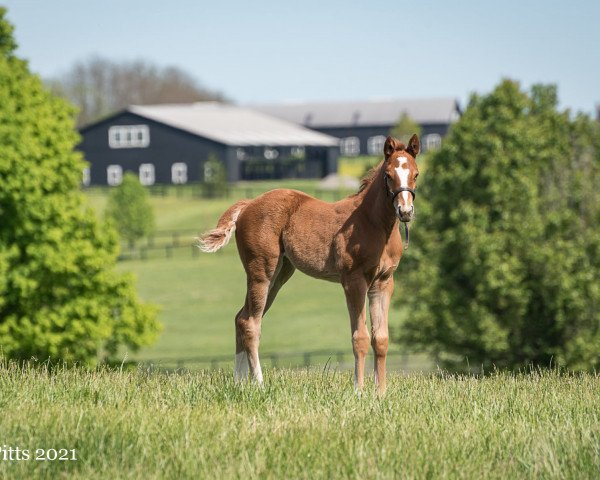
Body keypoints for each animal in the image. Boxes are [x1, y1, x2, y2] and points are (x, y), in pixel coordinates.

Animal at [199, 135, 420, 394]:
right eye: (388, 174)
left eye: (416, 174)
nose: (405, 211)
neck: (373, 223)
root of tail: (249, 203)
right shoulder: (353, 281)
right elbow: (360, 337)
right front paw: (358, 391)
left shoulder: (383, 282)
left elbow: (381, 338)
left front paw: (381, 393)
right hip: (261, 271)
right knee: (251, 323)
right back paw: (260, 384)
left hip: (280, 274)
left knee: (241, 318)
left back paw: (240, 382)